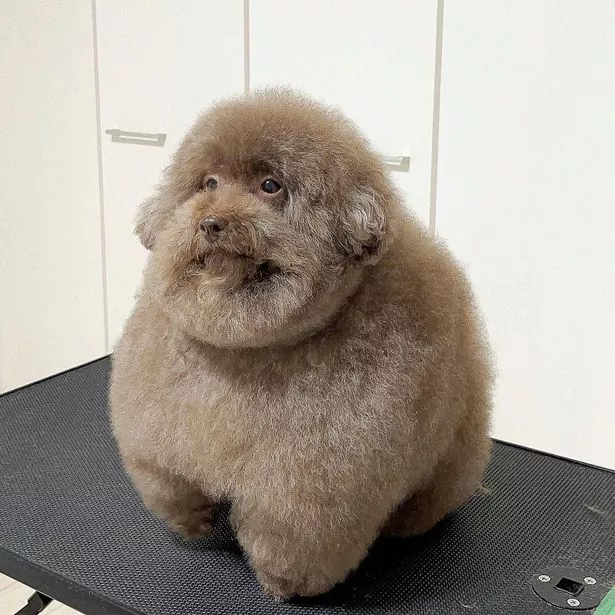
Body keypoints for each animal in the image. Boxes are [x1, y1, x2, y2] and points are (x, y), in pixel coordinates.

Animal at [110, 91, 494, 600]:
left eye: (270, 186)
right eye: (209, 182)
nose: (211, 222)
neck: (247, 352)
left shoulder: (312, 485)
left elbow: (295, 533)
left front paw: (285, 583)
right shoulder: (159, 422)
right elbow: (168, 479)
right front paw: (193, 521)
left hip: (450, 454)